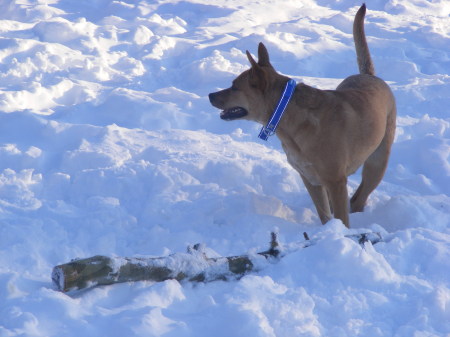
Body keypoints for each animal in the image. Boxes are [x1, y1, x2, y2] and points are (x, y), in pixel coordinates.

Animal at [209, 3, 396, 227]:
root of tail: (369, 75)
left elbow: (341, 217)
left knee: (359, 198)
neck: (286, 114)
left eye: (235, 87)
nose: (210, 95)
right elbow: (325, 215)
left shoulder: (335, 180)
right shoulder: (310, 178)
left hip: (377, 161)